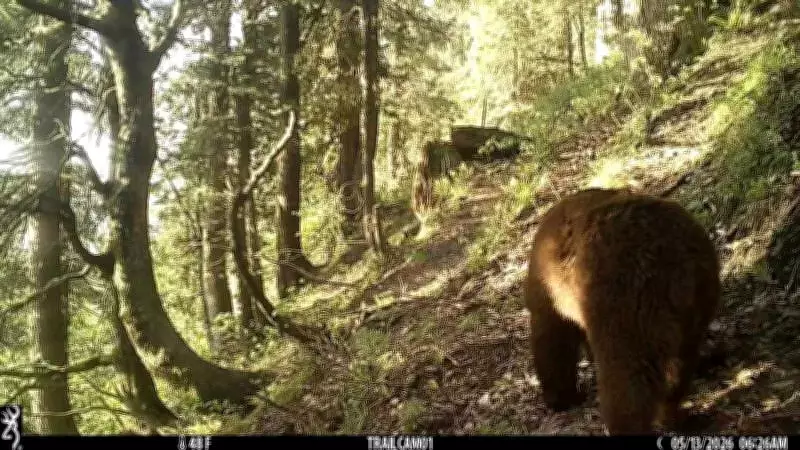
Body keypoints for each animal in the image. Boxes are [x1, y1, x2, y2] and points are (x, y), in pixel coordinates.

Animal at [524, 187, 721, 434]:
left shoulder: (550, 291)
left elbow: (551, 340)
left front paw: (561, 397)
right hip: (697, 298)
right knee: (679, 363)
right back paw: (675, 415)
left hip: (622, 302)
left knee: (625, 376)